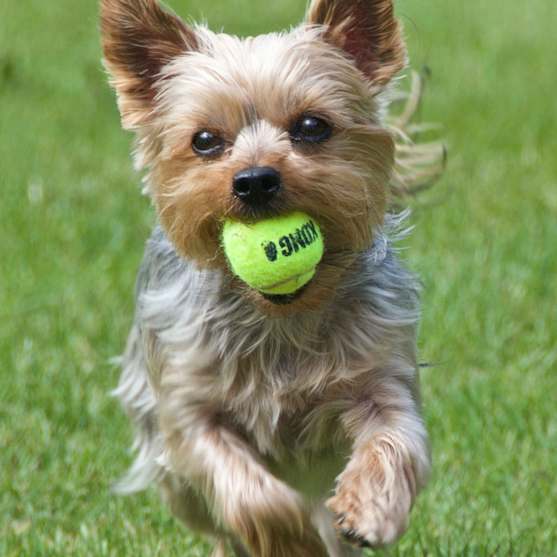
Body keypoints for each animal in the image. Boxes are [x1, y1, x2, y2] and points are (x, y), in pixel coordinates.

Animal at [100, 0, 430, 552]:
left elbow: (395, 439)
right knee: (214, 521)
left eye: (313, 126)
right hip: (168, 466)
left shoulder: (380, 376)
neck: (280, 317)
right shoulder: (189, 410)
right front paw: (292, 541)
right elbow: (252, 497)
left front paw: (368, 509)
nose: (254, 180)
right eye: (205, 140)